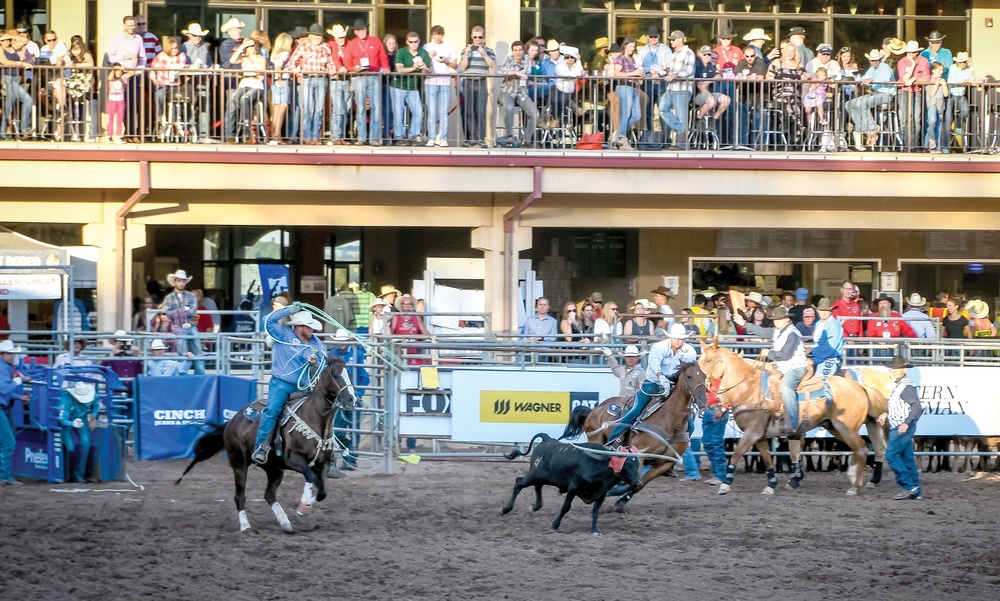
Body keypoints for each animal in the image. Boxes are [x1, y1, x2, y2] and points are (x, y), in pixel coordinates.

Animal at [176, 354, 356, 532]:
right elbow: (309, 477)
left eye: (349, 374)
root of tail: (232, 421)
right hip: (239, 463)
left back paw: (284, 522)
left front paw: (302, 510)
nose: (351, 399)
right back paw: (246, 526)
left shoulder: (322, 463)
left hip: (274, 468)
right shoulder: (294, 459)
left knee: (269, 495)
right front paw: (303, 506)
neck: (315, 419)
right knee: (239, 496)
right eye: (336, 375)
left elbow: (322, 493)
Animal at [556, 358, 712, 508]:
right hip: (595, 440)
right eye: (689, 376)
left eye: (704, 376)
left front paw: (620, 500)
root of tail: (594, 410)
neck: (670, 420)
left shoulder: (664, 463)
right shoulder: (639, 454)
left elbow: (639, 484)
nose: (703, 400)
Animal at [696, 342, 892, 496]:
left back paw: (854, 487)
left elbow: (737, 455)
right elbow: (768, 458)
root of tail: (861, 386)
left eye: (709, 360)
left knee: (863, 450)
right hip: (835, 427)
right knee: (868, 449)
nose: (704, 392)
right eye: (698, 361)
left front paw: (725, 484)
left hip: (846, 428)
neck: (748, 389)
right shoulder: (760, 436)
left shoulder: (752, 433)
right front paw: (771, 484)